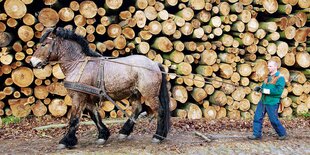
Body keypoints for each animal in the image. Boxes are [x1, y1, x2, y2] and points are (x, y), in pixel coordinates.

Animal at [29, 27, 170, 149]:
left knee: (160, 111)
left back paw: (158, 136)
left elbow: (74, 119)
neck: (77, 64)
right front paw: (103, 135)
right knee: (137, 109)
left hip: (149, 94)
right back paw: (124, 132)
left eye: (44, 44)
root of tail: (154, 63)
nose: (32, 62)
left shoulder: (78, 97)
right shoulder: (88, 98)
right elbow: (95, 116)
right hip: (135, 93)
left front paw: (66, 141)